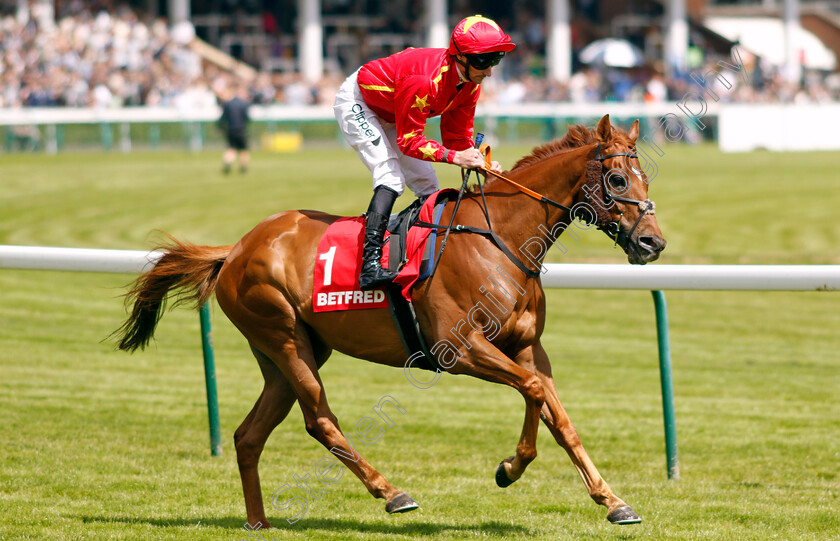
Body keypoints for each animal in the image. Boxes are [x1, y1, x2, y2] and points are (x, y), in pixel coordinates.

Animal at [115, 115, 664, 528]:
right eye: (617, 180)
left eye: (646, 179)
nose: (652, 243)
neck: (500, 239)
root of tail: (235, 249)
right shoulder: (459, 348)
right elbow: (531, 392)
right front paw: (510, 468)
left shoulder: (528, 347)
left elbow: (558, 416)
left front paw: (613, 501)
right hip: (284, 337)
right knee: (319, 420)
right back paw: (392, 492)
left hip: (285, 353)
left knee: (249, 434)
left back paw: (258, 521)